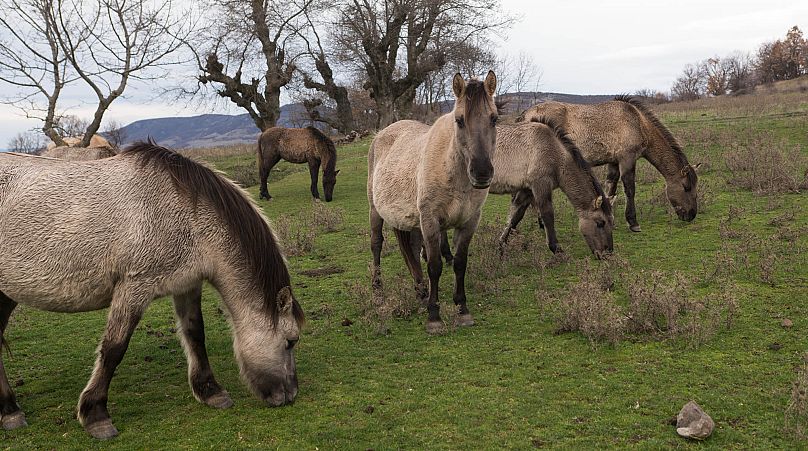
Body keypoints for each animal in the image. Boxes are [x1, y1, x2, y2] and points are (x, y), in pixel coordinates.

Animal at [0, 143, 306, 440]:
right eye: (290, 341)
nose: (290, 395)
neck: (185, 214)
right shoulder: (134, 288)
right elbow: (114, 349)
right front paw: (96, 415)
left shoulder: (187, 284)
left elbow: (195, 334)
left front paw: (210, 391)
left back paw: (9, 410)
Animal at [368, 71, 496, 336]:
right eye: (459, 120)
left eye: (494, 119)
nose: (481, 173)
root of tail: (383, 133)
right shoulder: (430, 220)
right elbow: (435, 265)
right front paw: (434, 316)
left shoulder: (469, 221)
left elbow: (459, 263)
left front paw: (462, 309)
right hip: (375, 210)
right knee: (376, 244)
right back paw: (377, 288)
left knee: (412, 249)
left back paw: (420, 290)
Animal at [516, 97, 700, 235]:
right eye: (686, 187)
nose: (691, 215)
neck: (638, 122)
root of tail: (524, 115)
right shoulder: (627, 159)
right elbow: (629, 189)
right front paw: (633, 222)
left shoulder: (613, 162)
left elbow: (610, 188)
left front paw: (611, 219)